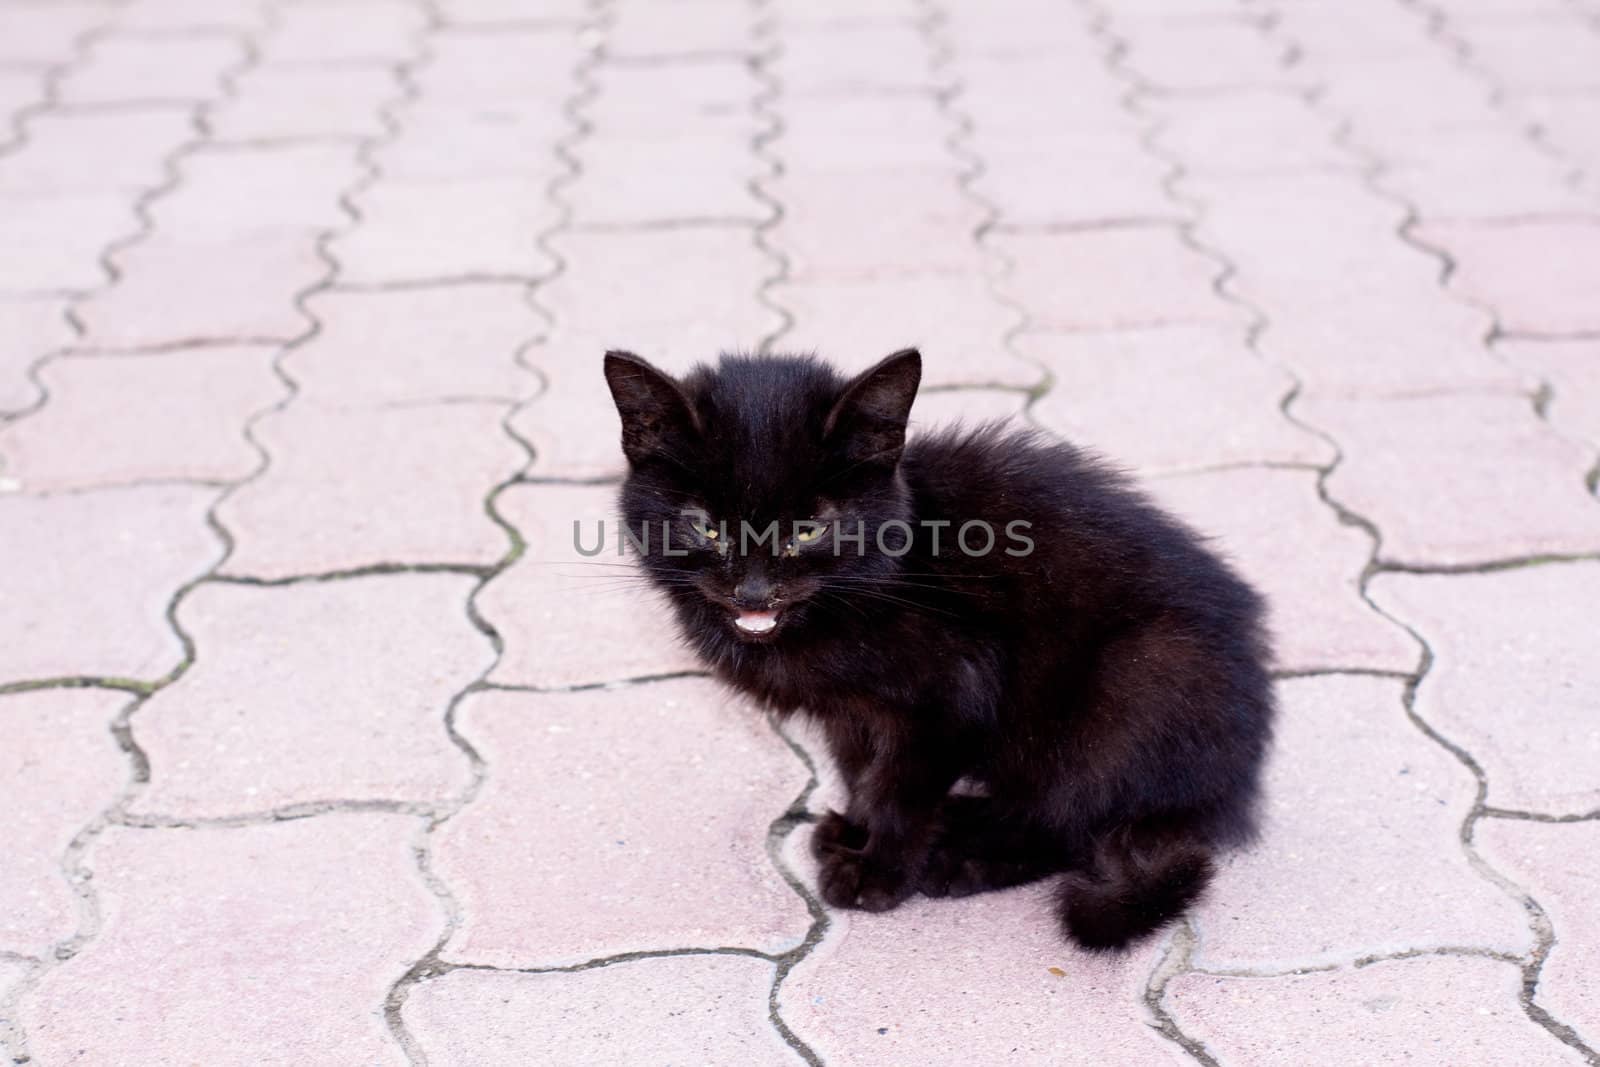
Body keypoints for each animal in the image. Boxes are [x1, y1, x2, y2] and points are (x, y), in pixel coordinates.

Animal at [601, 347, 1273, 947]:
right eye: (706, 526)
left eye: (809, 530)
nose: (754, 590)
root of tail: (1235, 776)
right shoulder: (851, 714)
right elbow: (861, 770)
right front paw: (855, 830)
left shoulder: (953, 692)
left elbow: (900, 788)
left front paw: (878, 871)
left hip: (1137, 680)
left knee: (1071, 816)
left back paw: (965, 855)